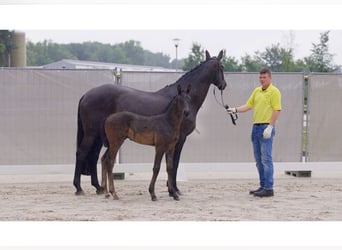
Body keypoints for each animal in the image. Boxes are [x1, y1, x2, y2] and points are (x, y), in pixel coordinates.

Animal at [73, 50, 226, 195]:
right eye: (222, 67)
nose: (223, 85)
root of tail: (86, 95)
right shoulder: (180, 139)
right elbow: (175, 163)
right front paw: (174, 189)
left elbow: (171, 164)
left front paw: (171, 189)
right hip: (91, 134)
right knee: (82, 153)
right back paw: (79, 188)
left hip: (99, 137)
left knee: (93, 157)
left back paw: (98, 187)